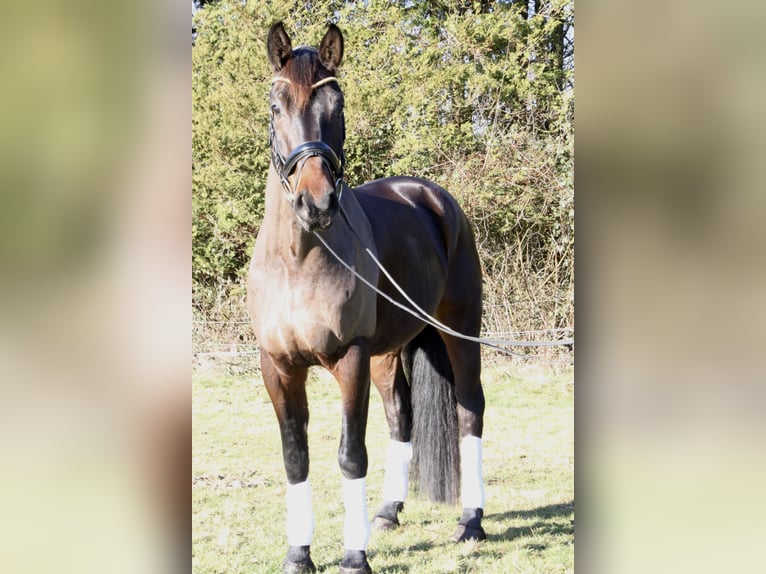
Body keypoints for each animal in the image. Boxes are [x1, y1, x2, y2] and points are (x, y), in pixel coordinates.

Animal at [246, 22, 486, 574]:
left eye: (337, 106)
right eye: (276, 105)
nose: (315, 203)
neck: (298, 261)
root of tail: (434, 198)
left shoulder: (349, 357)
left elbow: (350, 454)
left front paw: (354, 557)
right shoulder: (277, 365)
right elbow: (295, 457)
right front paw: (299, 554)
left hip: (461, 332)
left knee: (470, 411)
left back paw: (471, 522)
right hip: (389, 351)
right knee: (401, 418)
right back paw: (387, 512)